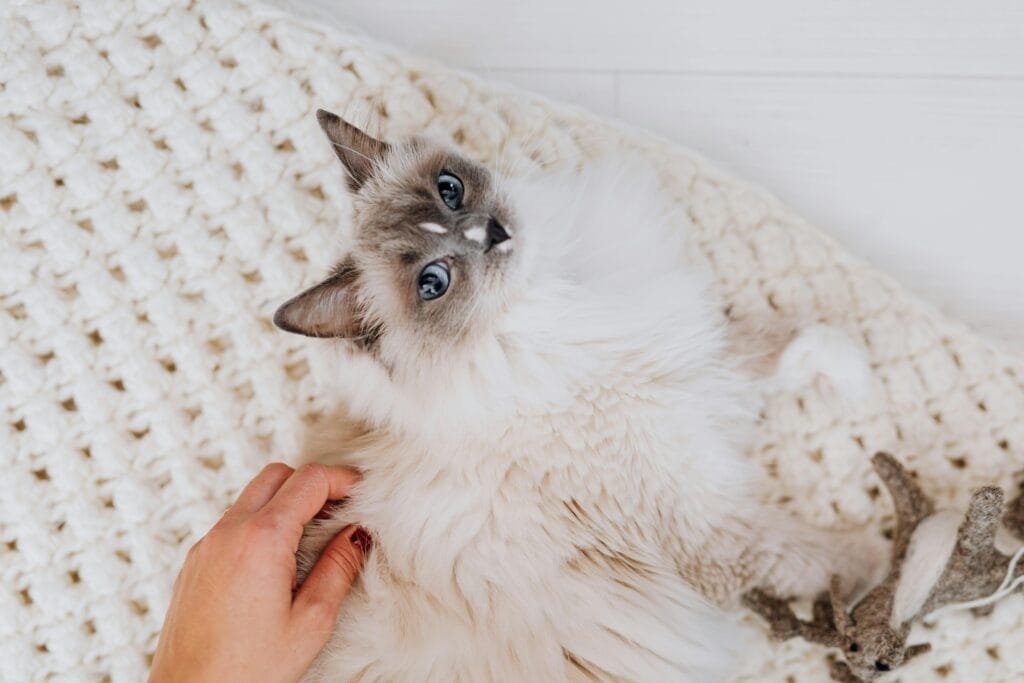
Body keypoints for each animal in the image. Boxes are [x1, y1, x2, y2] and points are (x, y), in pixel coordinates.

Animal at [274, 109, 888, 679]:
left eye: (450, 190)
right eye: (433, 282)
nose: (493, 233)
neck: (546, 308)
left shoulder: (687, 360)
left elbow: (793, 346)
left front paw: (851, 381)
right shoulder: (707, 528)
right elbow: (825, 557)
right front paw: (892, 567)